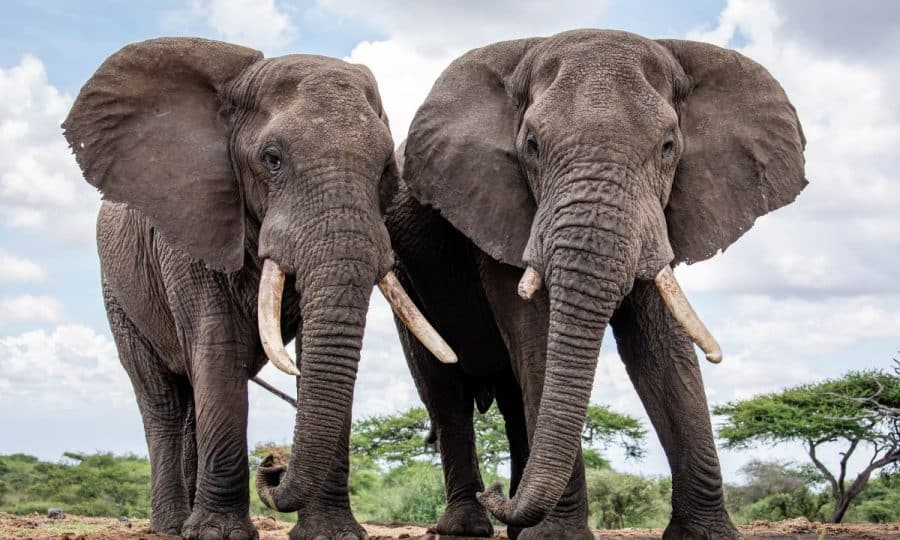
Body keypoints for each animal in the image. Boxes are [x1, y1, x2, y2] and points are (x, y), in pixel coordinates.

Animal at [62, 37, 455, 540]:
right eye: (272, 159)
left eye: (387, 169)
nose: (272, 462)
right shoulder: (191, 225)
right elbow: (219, 347)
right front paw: (217, 534)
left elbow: (310, 349)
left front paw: (333, 534)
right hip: (118, 294)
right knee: (162, 399)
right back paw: (171, 525)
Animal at [387, 29, 807, 539]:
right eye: (531, 144)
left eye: (669, 145)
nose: (498, 495)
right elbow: (538, 336)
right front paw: (555, 538)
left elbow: (662, 345)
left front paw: (707, 535)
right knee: (446, 392)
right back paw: (468, 525)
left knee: (510, 398)